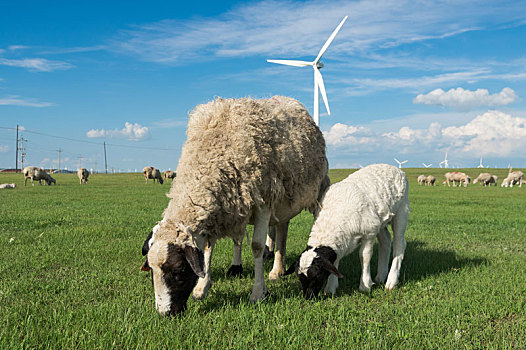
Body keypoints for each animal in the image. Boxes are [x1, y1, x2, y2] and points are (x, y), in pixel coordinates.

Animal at [145, 96, 330, 318]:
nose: (166, 313)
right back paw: (272, 268)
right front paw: (202, 287)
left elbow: (257, 246)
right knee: (278, 229)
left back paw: (279, 268)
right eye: (151, 270)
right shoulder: (225, 207)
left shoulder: (263, 203)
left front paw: (258, 292)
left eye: (179, 271)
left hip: (313, 190)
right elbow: (208, 248)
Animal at [286, 164, 410, 298]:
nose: (308, 297)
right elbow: (335, 262)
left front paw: (365, 285)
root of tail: (395, 168)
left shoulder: (369, 233)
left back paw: (391, 281)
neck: (334, 216)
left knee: (399, 244)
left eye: (317, 276)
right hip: (380, 220)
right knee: (386, 241)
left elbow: (364, 256)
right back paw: (381, 277)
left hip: (402, 210)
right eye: (299, 277)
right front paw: (330, 288)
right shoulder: (369, 228)